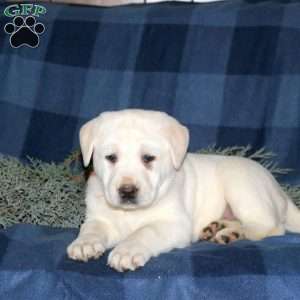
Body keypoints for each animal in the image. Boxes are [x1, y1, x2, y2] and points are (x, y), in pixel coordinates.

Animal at [67, 108, 300, 272]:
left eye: (148, 158)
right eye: (111, 157)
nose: (127, 191)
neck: (131, 213)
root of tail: (281, 192)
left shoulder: (174, 224)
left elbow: (145, 231)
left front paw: (126, 250)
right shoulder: (99, 218)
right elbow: (91, 229)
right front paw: (84, 244)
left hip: (241, 185)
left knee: (268, 227)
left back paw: (231, 233)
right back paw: (218, 228)